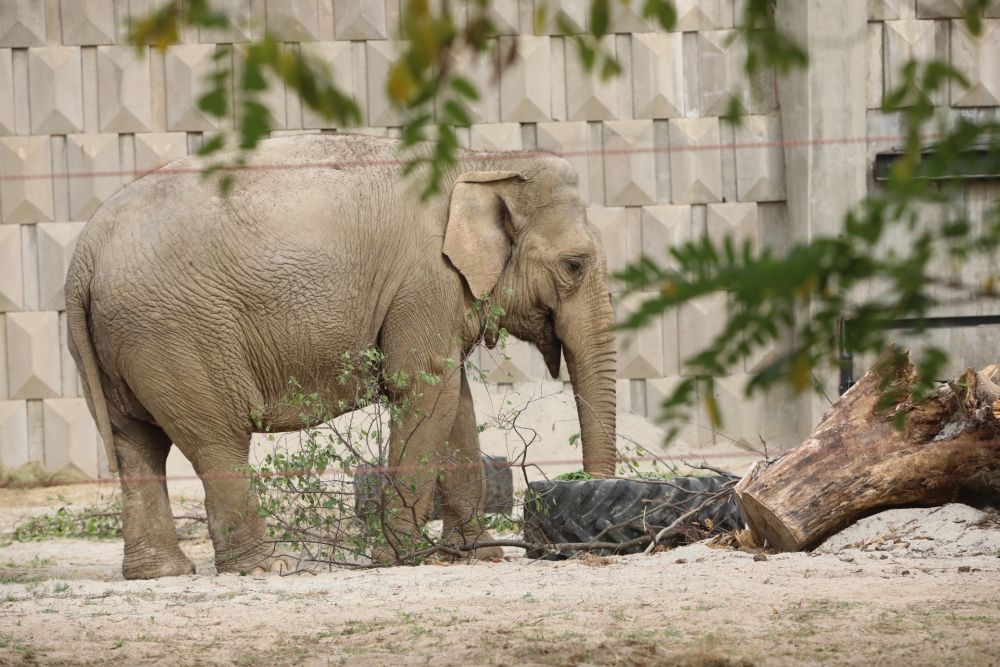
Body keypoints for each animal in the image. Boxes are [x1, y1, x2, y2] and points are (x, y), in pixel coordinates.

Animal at [64, 134, 616, 580]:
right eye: (574, 265)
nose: (586, 494)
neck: (484, 160)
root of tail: (83, 255)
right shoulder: (425, 281)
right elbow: (423, 389)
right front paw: (401, 558)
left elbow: (453, 399)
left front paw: (475, 556)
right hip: (180, 336)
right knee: (216, 441)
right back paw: (268, 568)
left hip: (124, 343)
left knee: (136, 445)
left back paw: (161, 572)